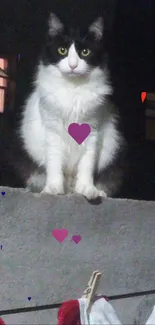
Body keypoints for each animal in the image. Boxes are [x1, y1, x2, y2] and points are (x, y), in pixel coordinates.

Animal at [19, 7, 126, 199]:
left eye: (85, 52)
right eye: (62, 50)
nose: (73, 65)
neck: (73, 89)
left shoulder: (92, 131)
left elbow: (87, 166)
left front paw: (86, 189)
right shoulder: (52, 130)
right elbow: (54, 164)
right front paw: (53, 188)